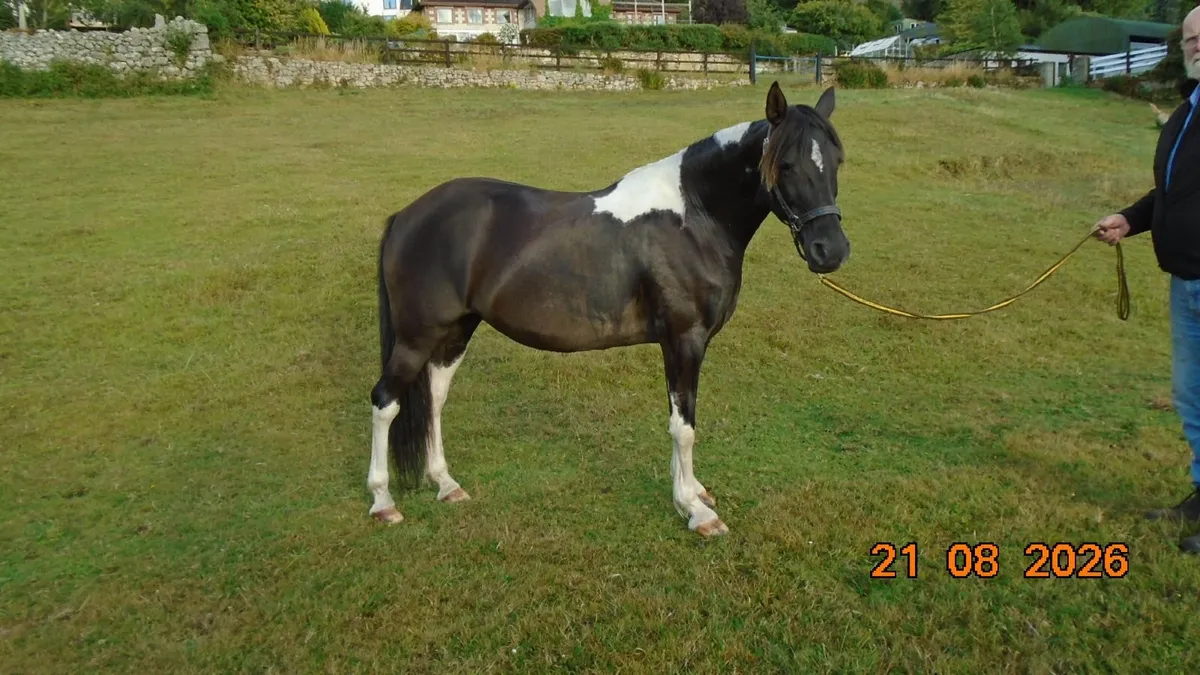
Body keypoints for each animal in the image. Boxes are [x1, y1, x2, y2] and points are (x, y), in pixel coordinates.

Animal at [366, 81, 850, 537]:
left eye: (837, 160)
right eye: (785, 164)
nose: (830, 250)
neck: (694, 218)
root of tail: (407, 215)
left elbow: (681, 417)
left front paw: (691, 492)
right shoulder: (685, 339)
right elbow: (684, 426)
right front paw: (695, 511)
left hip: (456, 330)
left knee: (434, 398)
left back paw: (446, 484)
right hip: (416, 336)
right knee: (385, 402)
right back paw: (383, 501)